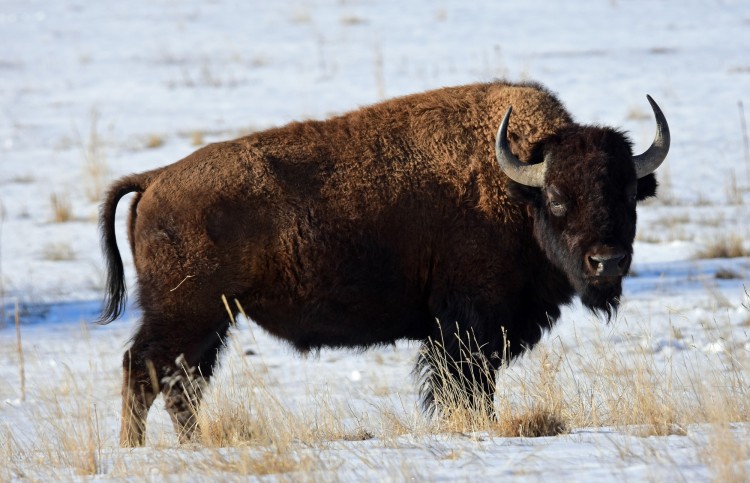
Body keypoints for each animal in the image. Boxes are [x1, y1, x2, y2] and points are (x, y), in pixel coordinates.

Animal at [98, 80, 668, 446]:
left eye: (627, 194)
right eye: (556, 198)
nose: (607, 262)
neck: (515, 189)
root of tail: (155, 178)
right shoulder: (469, 326)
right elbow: (466, 384)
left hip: (212, 319)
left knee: (181, 383)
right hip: (185, 313)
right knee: (143, 370)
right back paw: (134, 449)